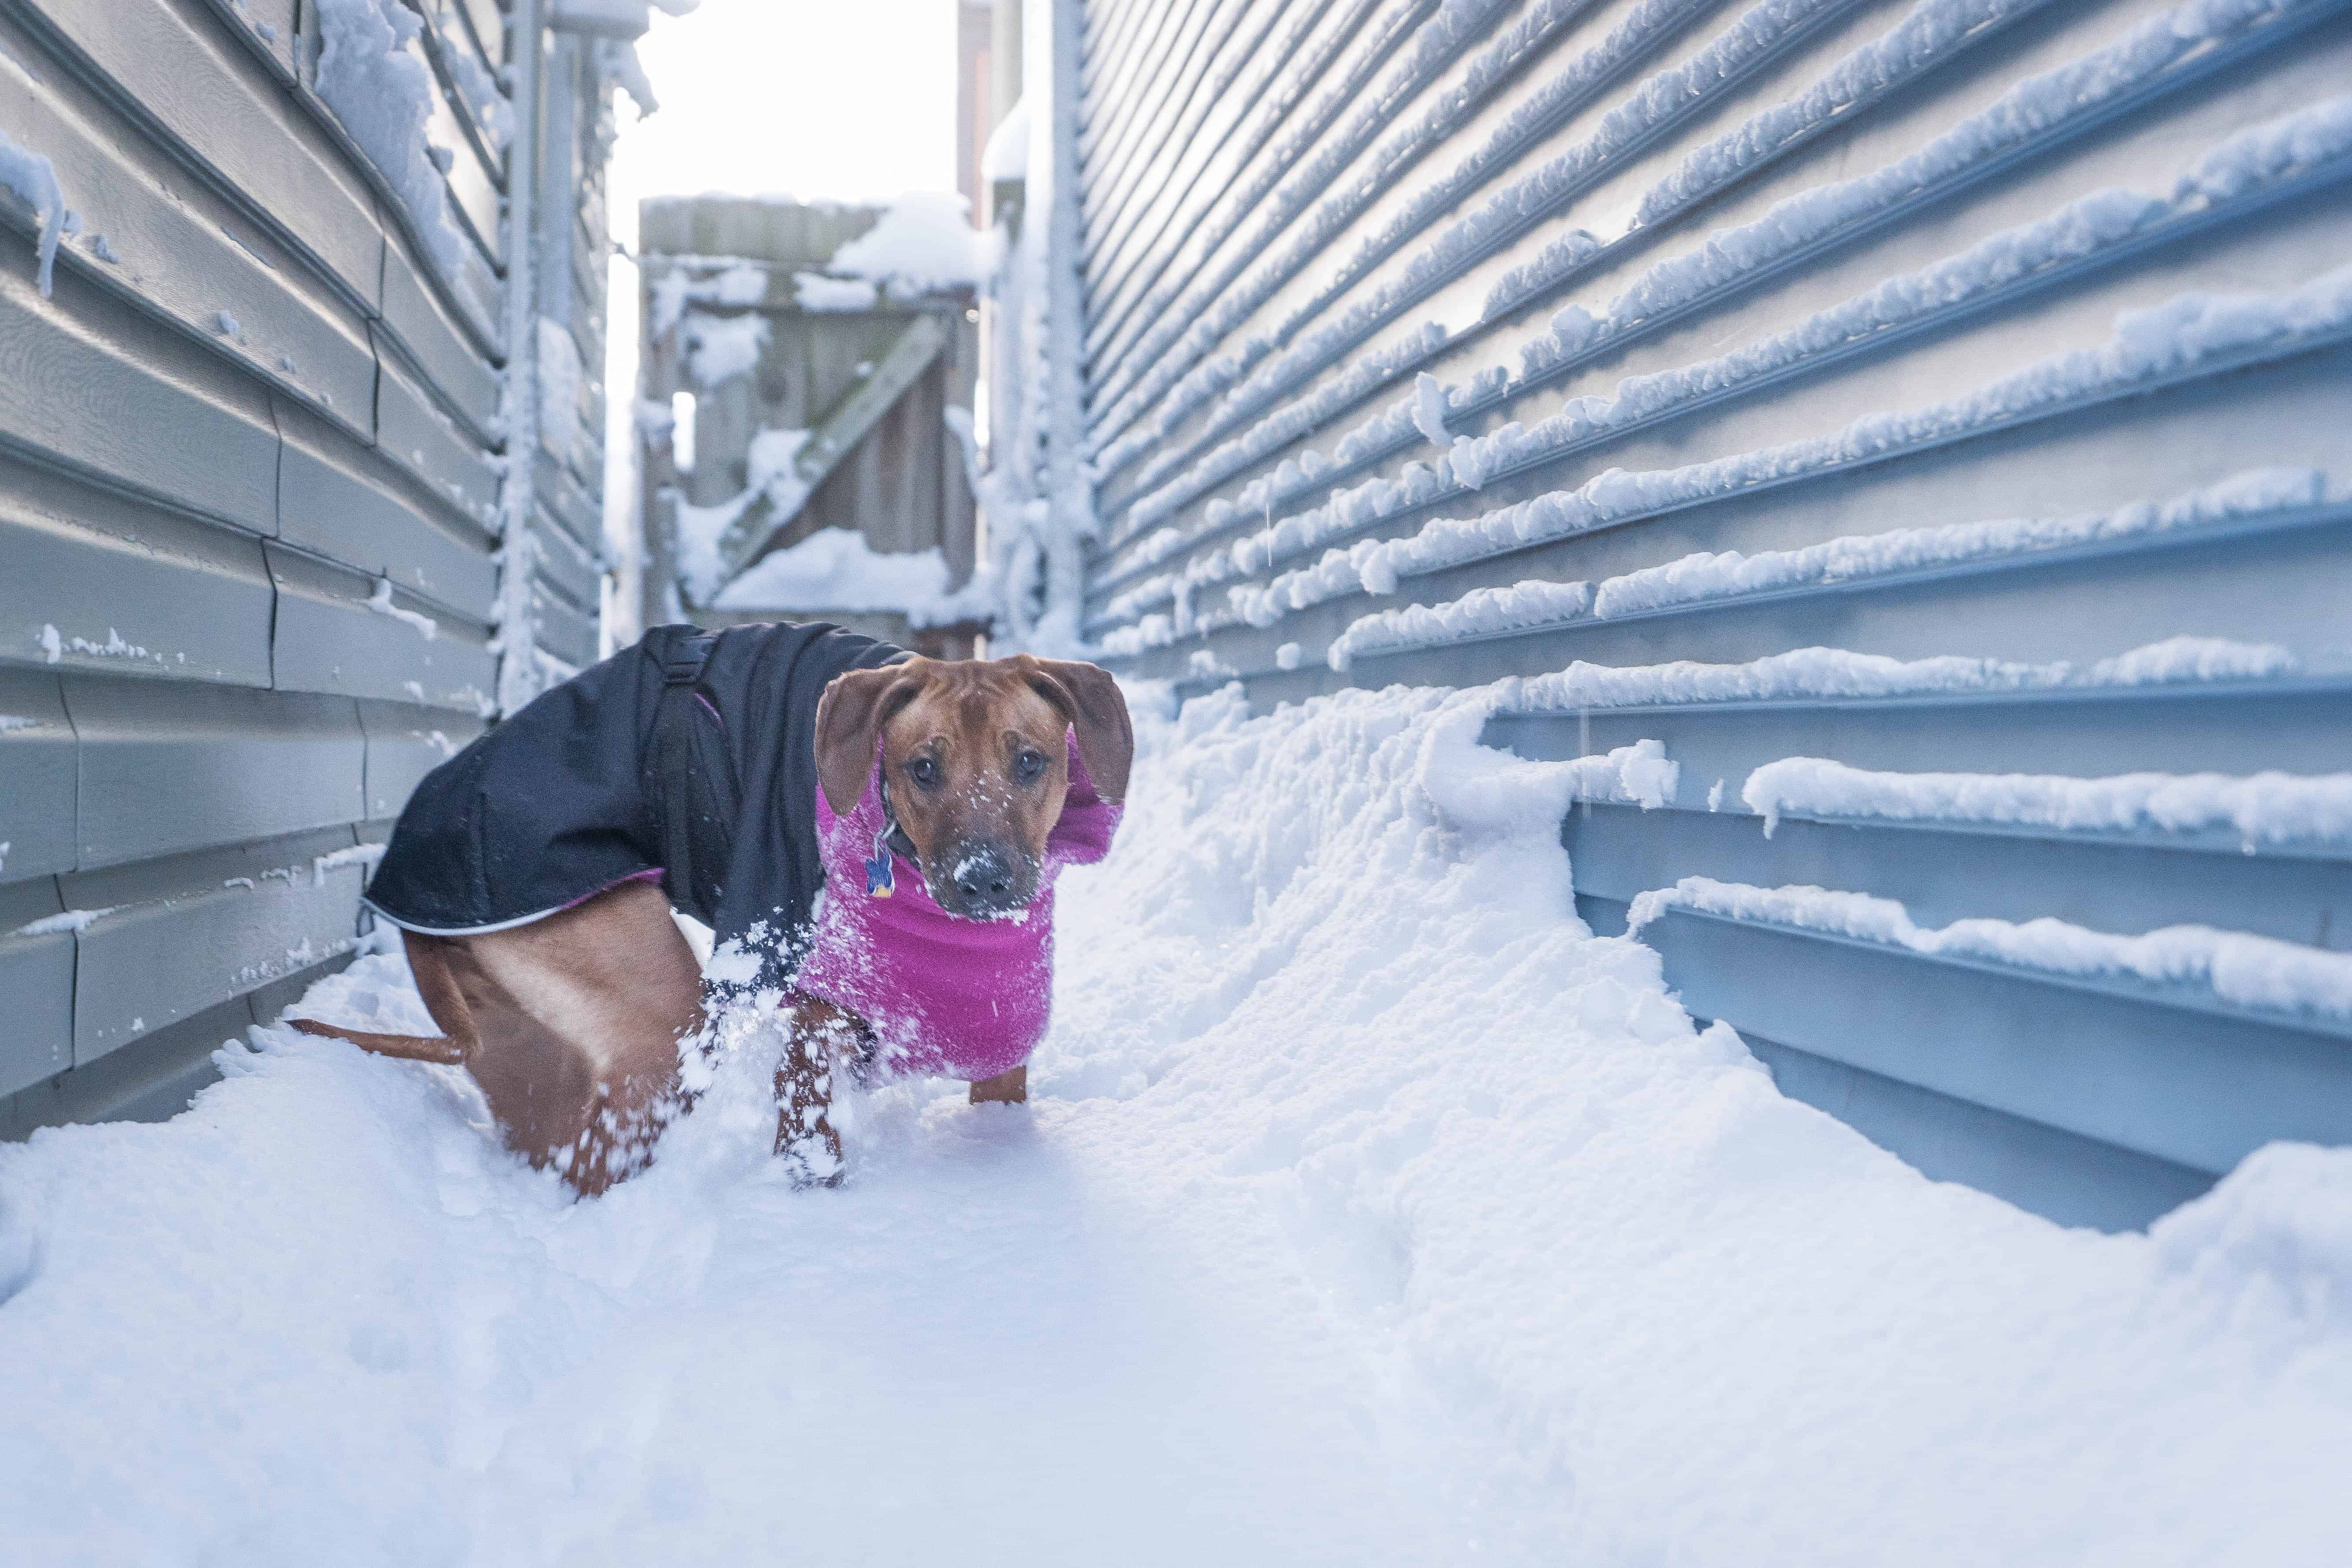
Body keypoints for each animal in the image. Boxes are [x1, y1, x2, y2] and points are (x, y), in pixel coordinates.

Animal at [296, 648, 1129, 1203]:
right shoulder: (809, 1038)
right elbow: (813, 1154)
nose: (982, 880)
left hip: (528, 1044)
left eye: (1031, 762)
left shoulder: (1000, 1062)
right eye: (922, 768)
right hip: (653, 1012)